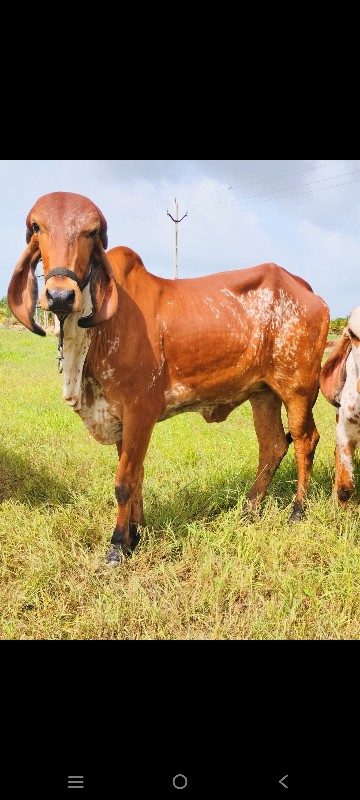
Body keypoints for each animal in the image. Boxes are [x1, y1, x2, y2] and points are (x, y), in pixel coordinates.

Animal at [7, 192, 330, 568]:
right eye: (36, 227)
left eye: (91, 232)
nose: (60, 295)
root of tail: (307, 290)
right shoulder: (119, 415)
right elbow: (137, 476)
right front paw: (135, 536)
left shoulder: (140, 410)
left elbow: (124, 482)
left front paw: (117, 547)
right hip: (263, 392)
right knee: (274, 444)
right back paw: (249, 509)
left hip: (297, 389)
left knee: (305, 439)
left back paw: (297, 511)